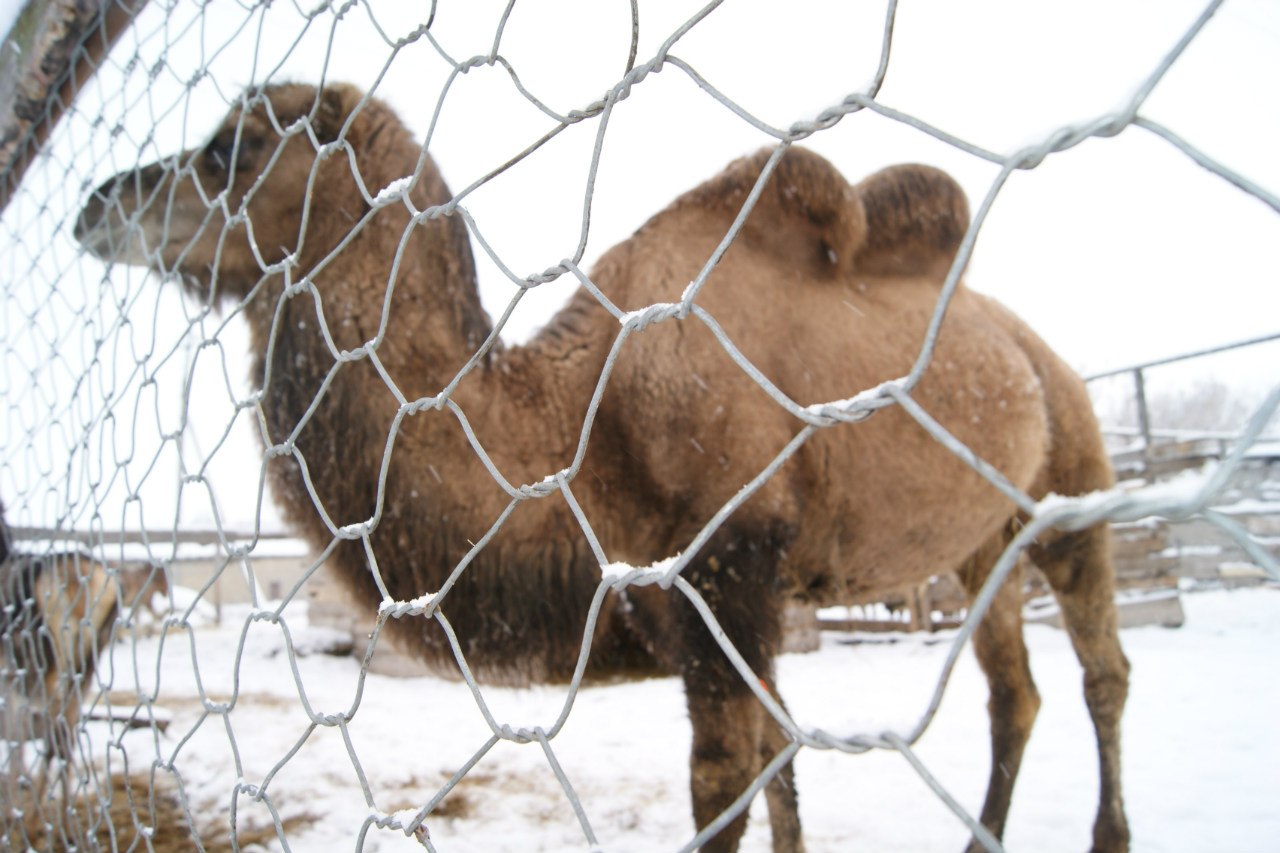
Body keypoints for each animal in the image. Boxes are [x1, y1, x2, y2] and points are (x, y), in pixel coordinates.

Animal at [77, 81, 1131, 850]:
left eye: (234, 147)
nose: (93, 201)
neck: (574, 431)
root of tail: (1037, 352)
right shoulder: (718, 609)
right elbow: (782, 765)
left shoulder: (729, 569)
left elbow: (725, 784)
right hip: (985, 542)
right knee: (1012, 688)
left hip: (1072, 474)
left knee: (1100, 668)